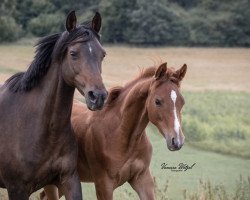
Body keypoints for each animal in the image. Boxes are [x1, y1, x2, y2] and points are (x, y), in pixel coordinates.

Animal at [40, 63, 186, 200]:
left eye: (182, 102)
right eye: (157, 101)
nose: (177, 141)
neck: (121, 136)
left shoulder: (143, 178)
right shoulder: (104, 185)